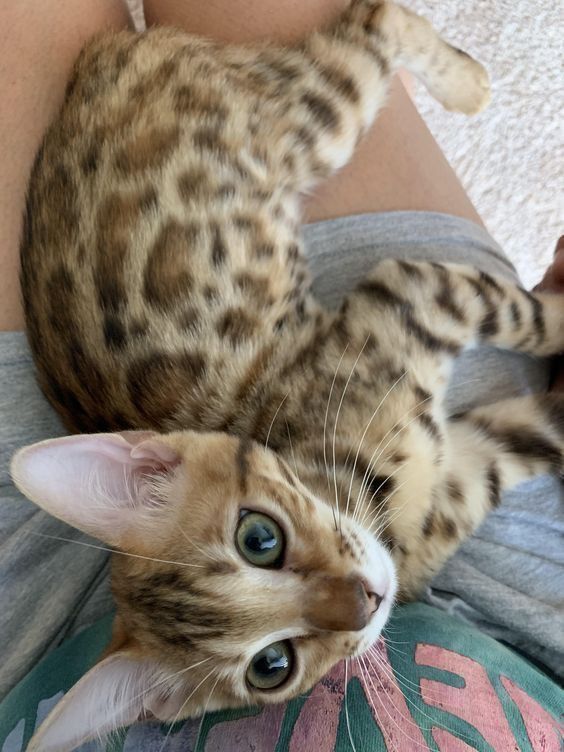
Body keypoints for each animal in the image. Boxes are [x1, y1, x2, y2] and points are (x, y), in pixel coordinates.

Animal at [9, 1, 564, 752]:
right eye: (272, 666)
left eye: (259, 537)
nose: (365, 602)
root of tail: (97, 63)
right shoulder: (464, 463)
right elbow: (539, 418)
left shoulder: (409, 291)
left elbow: (523, 314)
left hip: (309, 119)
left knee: (375, 20)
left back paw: (464, 84)